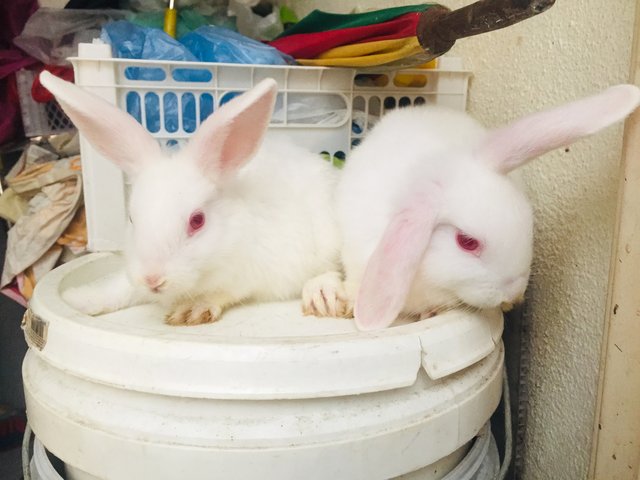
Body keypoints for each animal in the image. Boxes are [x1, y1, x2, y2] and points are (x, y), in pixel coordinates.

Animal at [40, 72, 348, 326]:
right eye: (132, 219)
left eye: (197, 221)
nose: (153, 279)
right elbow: (118, 288)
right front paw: (78, 300)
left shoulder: (244, 276)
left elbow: (222, 293)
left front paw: (191, 310)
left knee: (330, 270)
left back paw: (322, 294)